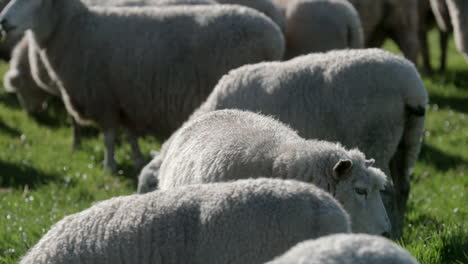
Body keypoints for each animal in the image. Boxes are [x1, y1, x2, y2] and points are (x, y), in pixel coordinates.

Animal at [0, 0, 286, 172]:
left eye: (33, 0)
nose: (3, 21)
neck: (73, 29)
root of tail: (276, 36)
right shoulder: (125, 98)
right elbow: (129, 133)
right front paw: (136, 159)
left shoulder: (103, 98)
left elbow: (109, 138)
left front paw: (109, 166)